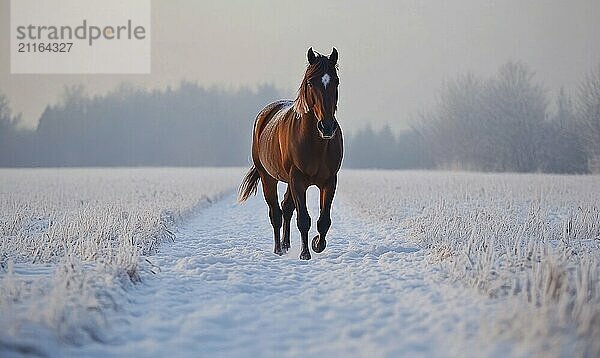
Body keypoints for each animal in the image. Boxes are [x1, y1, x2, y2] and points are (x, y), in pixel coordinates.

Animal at [238, 48, 342, 260]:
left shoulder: (329, 181)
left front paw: (317, 244)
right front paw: (305, 253)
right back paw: (278, 249)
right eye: (311, 82)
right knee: (276, 213)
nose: (327, 126)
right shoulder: (298, 179)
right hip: (268, 177)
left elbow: (324, 220)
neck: (317, 143)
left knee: (286, 208)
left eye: (335, 81)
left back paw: (286, 245)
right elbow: (303, 219)